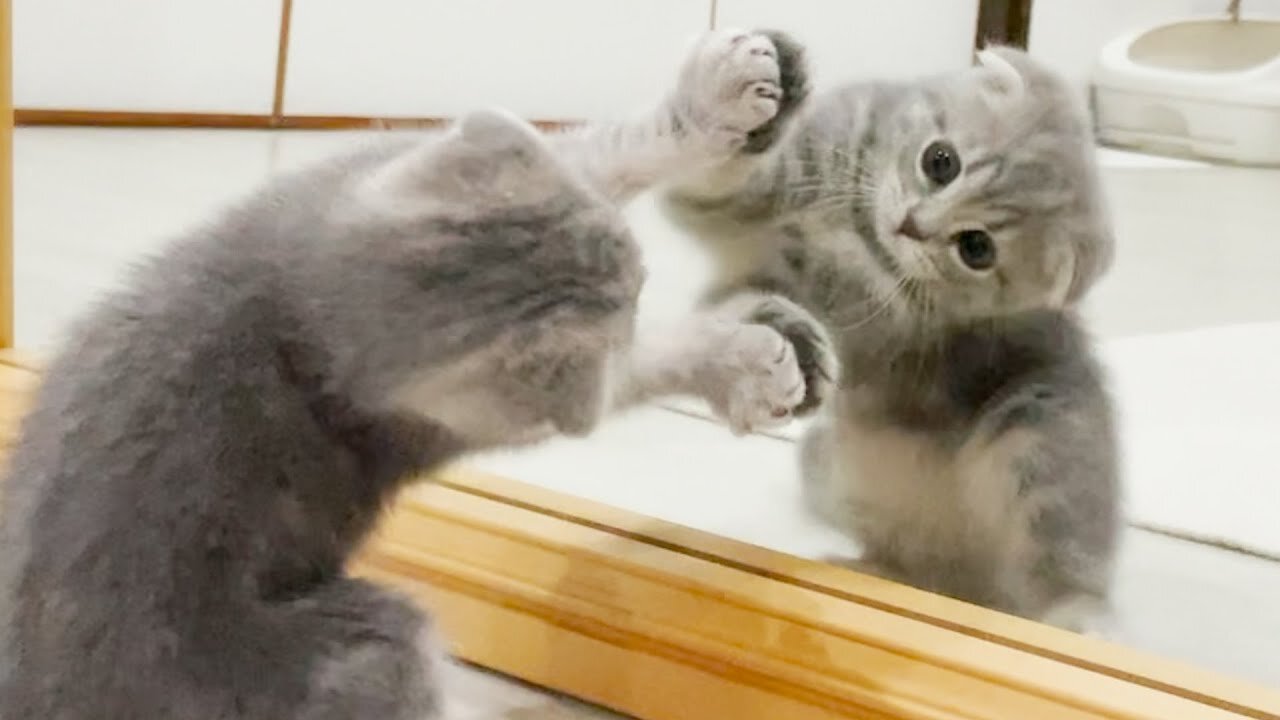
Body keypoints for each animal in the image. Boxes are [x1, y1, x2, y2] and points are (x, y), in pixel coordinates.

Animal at [0, 32, 819, 717]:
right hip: (372, 649)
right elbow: (637, 369)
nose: (647, 283)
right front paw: (749, 362)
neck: (296, 310)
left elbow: (604, 155)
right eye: (638, 292)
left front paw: (717, 101)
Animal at [660, 32, 1121, 627]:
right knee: (909, 570)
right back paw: (862, 571)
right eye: (940, 161)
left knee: (1054, 573)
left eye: (976, 247)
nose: (913, 225)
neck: (863, 237)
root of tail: (970, 590)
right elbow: (728, 197)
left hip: (1043, 428)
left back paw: (1069, 622)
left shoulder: (875, 330)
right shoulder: (750, 229)